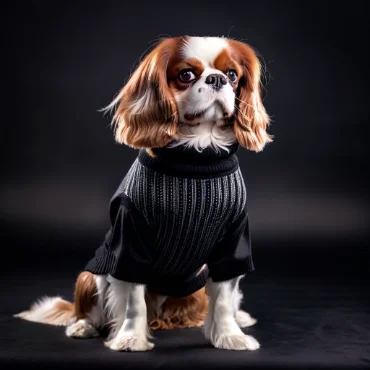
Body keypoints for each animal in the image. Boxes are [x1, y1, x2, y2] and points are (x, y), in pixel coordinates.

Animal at [15, 36, 272, 352]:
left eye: (233, 75)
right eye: (186, 75)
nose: (217, 79)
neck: (196, 154)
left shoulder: (232, 239)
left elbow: (223, 297)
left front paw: (229, 336)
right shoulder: (129, 239)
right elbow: (134, 301)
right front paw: (130, 339)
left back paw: (237, 317)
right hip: (91, 275)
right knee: (91, 310)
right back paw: (83, 326)